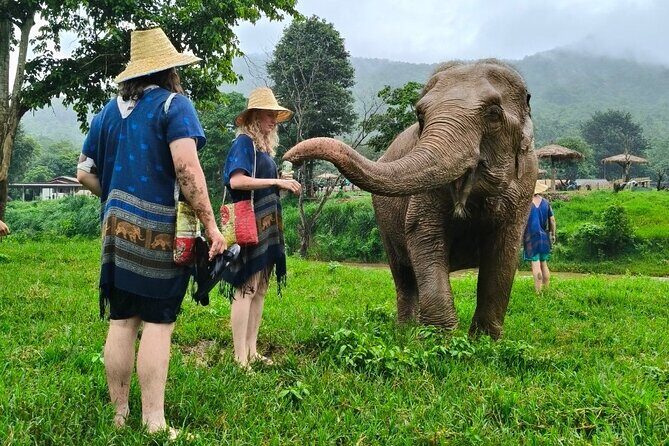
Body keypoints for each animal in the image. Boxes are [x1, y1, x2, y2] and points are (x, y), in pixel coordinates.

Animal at [283, 59, 537, 339]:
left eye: (493, 114)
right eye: (420, 116)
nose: (291, 159)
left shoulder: (526, 184)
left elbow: (505, 251)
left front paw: (484, 340)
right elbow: (423, 234)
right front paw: (439, 338)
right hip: (383, 223)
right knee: (403, 273)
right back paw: (405, 330)